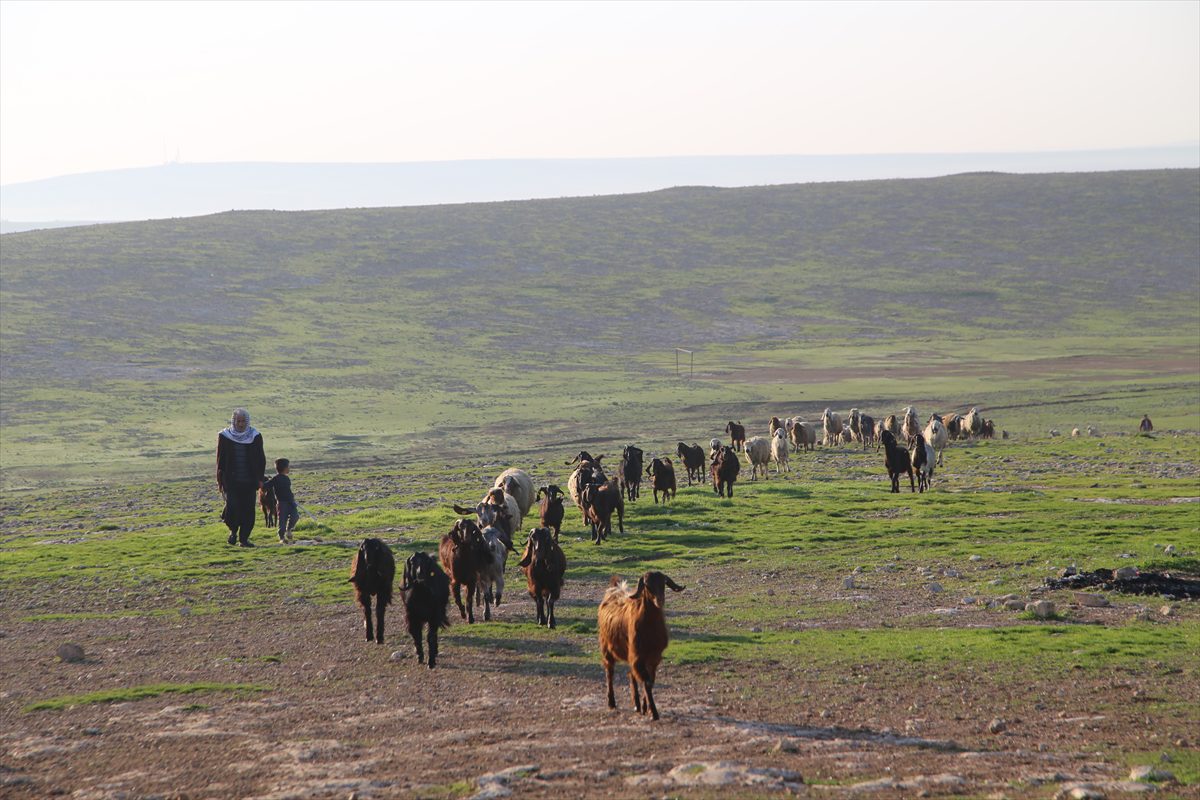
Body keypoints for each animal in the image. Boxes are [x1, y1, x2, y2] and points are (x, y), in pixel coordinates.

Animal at [598, 571, 685, 721]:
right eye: (647, 585)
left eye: (663, 583)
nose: (659, 601)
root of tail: (613, 591)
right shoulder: (638, 656)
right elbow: (646, 682)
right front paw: (654, 712)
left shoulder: (653, 657)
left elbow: (650, 681)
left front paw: (646, 708)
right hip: (607, 648)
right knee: (609, 672)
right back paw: (611, 703)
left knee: (631, 674)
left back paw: (637, 705)